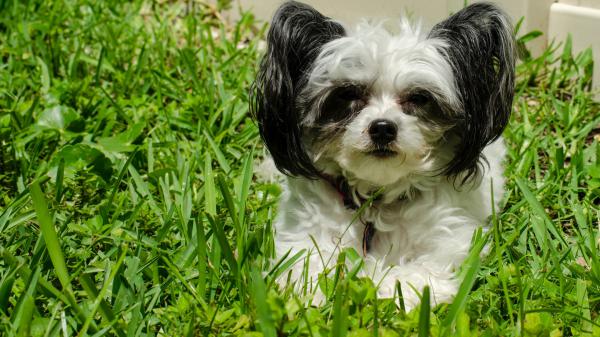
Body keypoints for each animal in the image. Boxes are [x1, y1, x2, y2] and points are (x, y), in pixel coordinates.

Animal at [248, 0, 516, 310]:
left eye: (419, 98)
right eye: (347, 94)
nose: (383, 128)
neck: (377, 198)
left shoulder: (449, 241)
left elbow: (416, 275)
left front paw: (381, 286)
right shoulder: (305, 232)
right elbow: (305, 265)